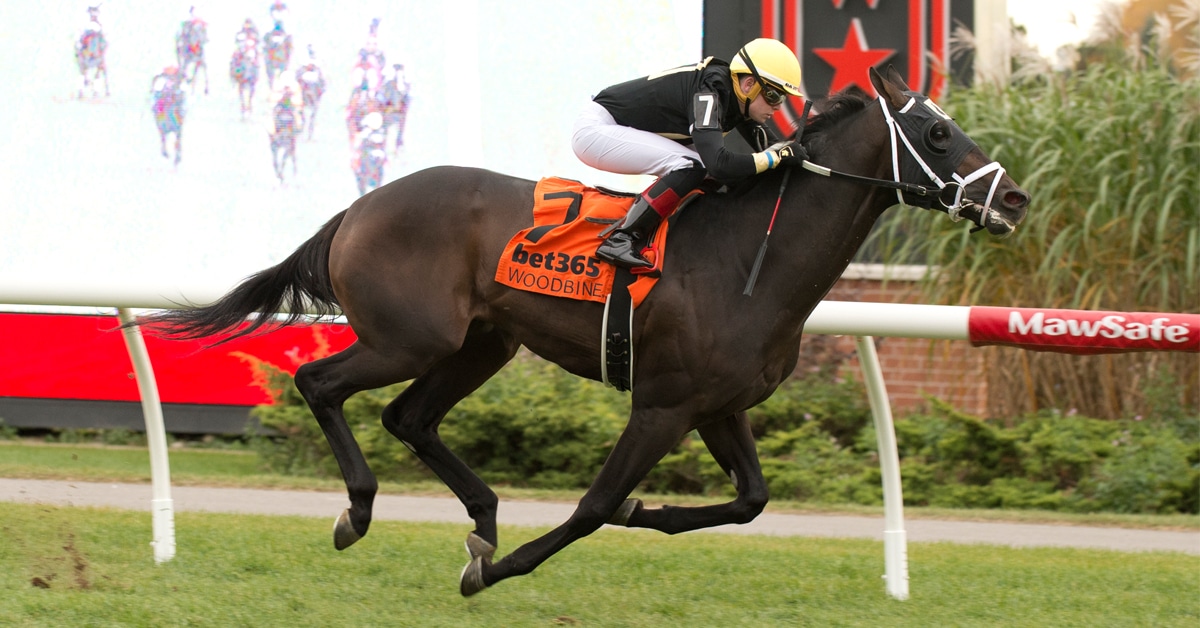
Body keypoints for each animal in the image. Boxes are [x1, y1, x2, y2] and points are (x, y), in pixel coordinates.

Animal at [139, 68, 1029, 596]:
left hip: (482, 344)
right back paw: (361, 514)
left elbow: (750, 501)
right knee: (319, 383)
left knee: (409, 417)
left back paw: (483, 517)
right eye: (939, 132)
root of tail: (361, 205)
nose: (1013, 198)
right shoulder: (663, 405)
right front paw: (500, 572)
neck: (752, 254)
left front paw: (645, 512)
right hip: (411, 339)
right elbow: (597, 503)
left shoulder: (717, 406)